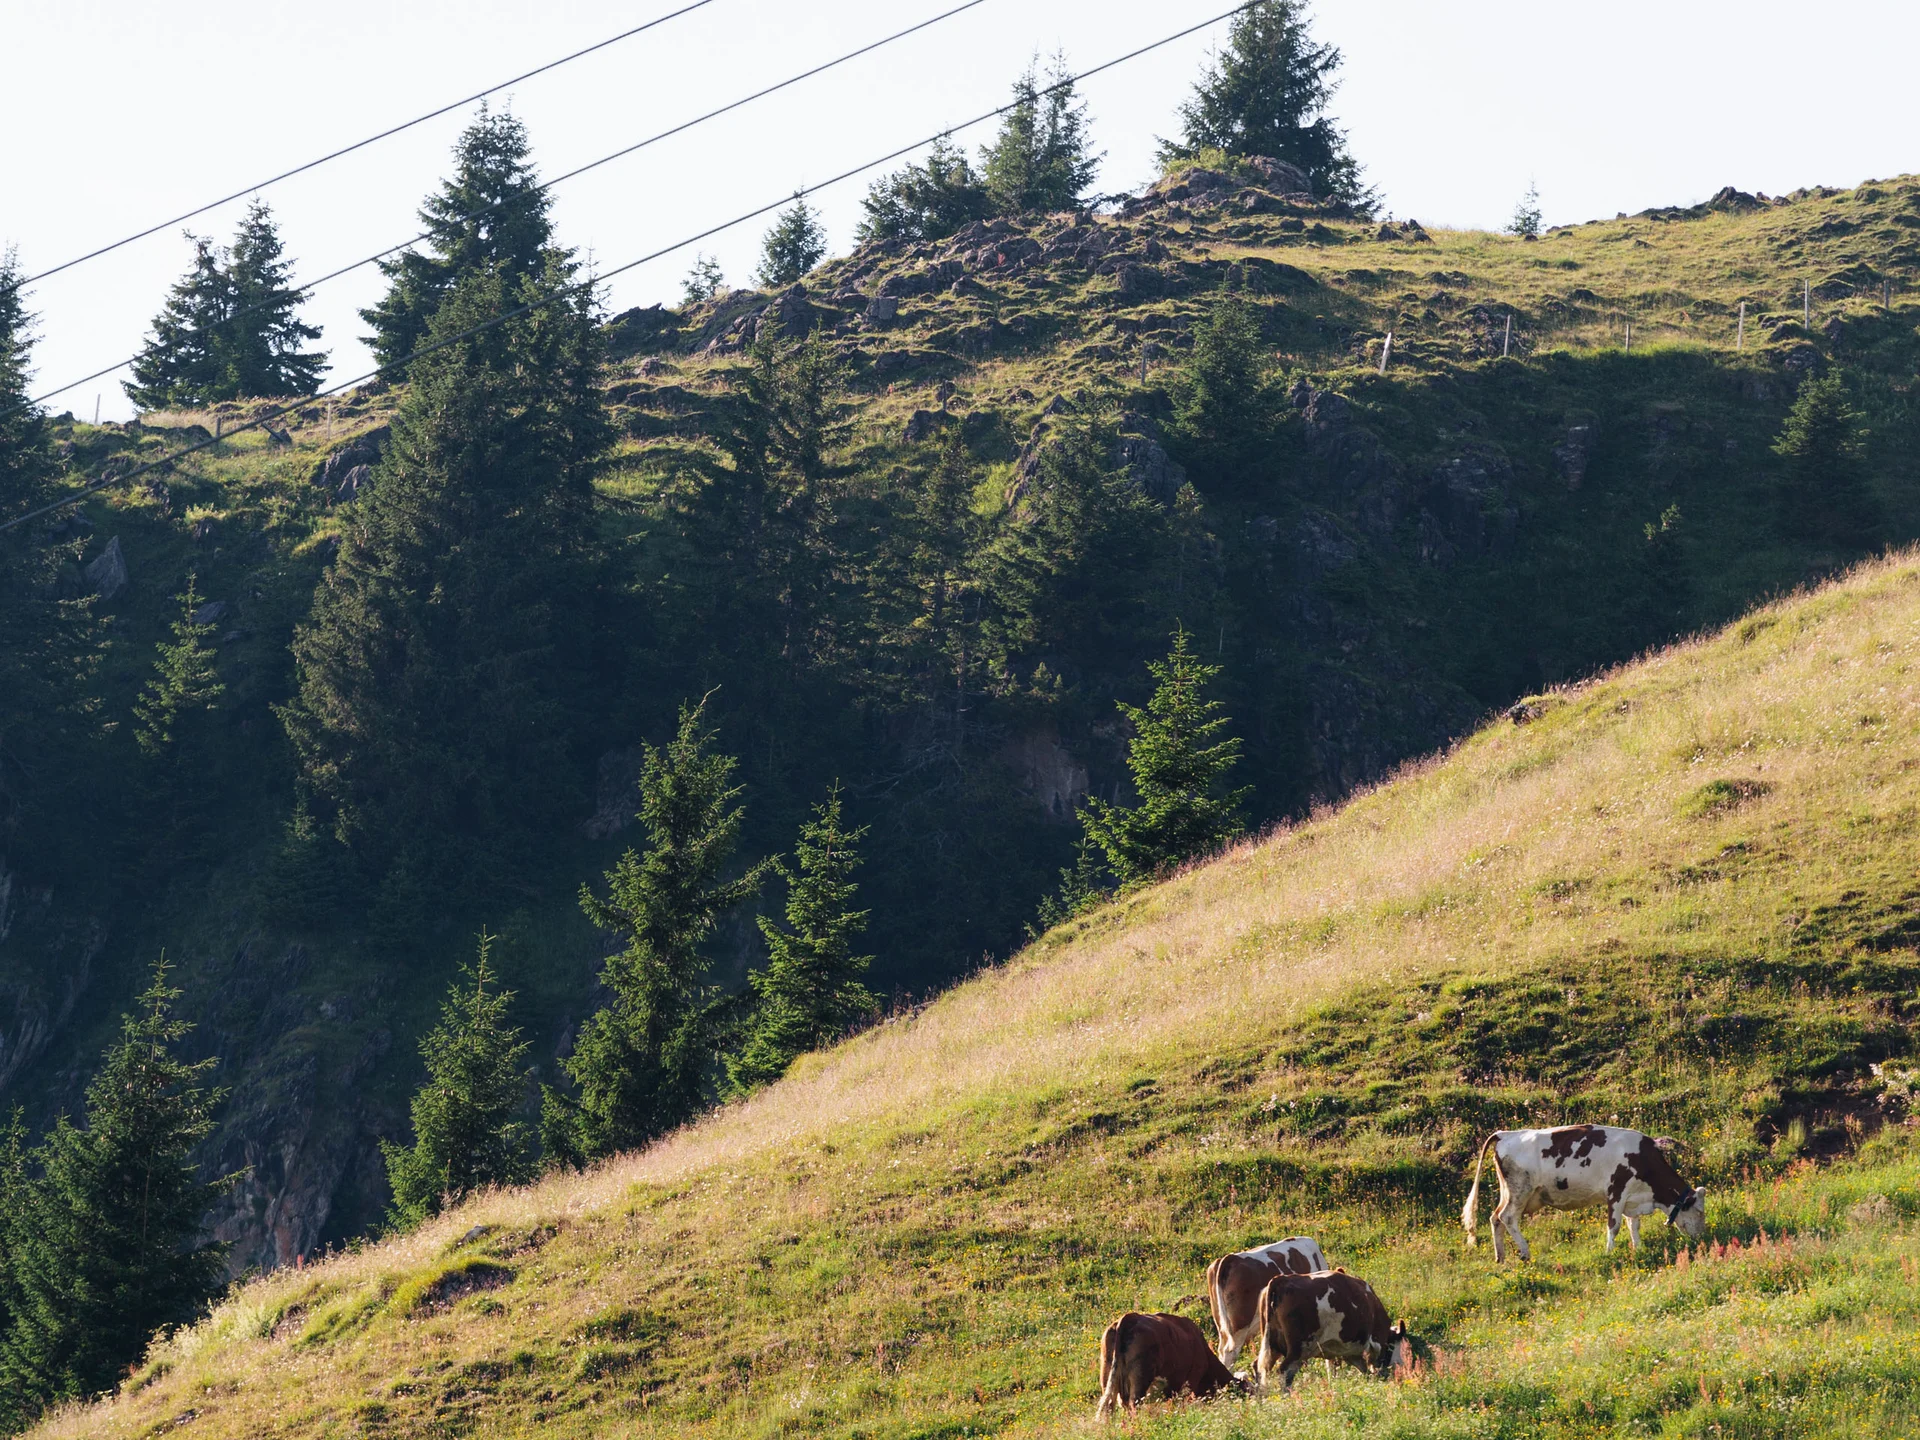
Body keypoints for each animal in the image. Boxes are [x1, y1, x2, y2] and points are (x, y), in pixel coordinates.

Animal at [1095, 1311, 1241, 1418]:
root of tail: (1129, 1317)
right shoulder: (1190, 1382)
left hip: (1107, 1375)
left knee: (1109, 1405)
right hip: (1141, 1379)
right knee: (1134, 1405)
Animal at [1254, 1269, 1408, 1392]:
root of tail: (1281, 1280)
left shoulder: (1349, 1352)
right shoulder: (1377, 1344)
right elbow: (1373, 1367)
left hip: (1271, 1344)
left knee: (1260, 1367)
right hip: (1298, 1350)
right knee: (1284, 1372)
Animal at [1461, 1124, 1708, 1261]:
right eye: (1699, 1212)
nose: (1700, 1238)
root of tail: (1505, 1134)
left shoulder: (1632, 1197)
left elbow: (1634, 1225)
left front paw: (1638, 1248)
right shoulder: (1616, 1191)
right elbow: (1614, 1226)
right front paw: (1609, 1252)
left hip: (1509, 1191)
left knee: (1495, 1217)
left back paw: (1500, 1257)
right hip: (1520, 1190)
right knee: (1508, 1217)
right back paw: (1524, 1253)